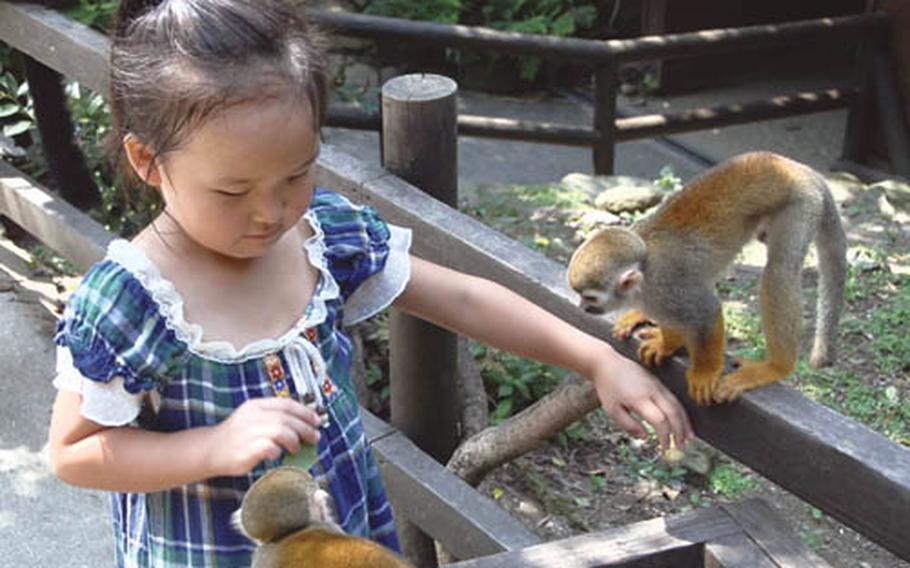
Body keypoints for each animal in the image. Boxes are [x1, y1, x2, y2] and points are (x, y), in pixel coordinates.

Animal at [568, 153, 848, 406]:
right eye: (581, 296)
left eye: (590, 297)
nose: (583, 307)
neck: (644, 274)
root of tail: (801, 169)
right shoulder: (659, 294)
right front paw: (667, 343)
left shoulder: (668, 286)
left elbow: (707, 312)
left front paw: (704, 371)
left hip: (801, 204)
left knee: (779, 272)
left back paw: (776, 367)